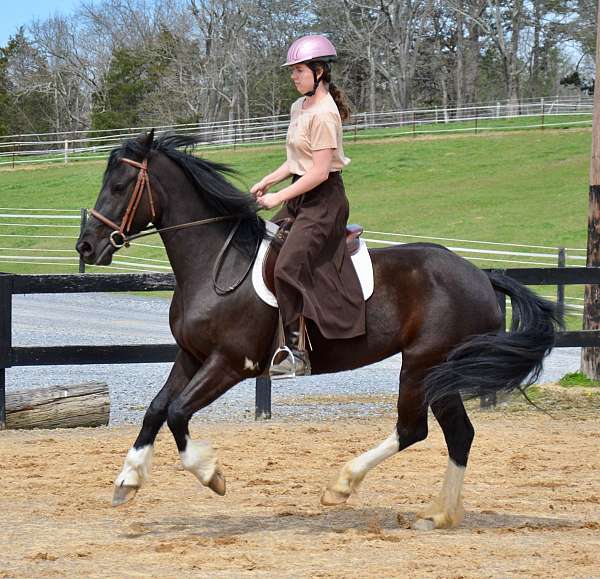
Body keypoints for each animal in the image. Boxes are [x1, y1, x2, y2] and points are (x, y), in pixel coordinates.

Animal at [77, 131, 560, 532]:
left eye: (119, 186)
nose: (86, 246)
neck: (216, 264)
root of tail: (481, 275)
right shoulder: (191, 355)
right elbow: (156, 410)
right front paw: (127, 480)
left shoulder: (230, 363)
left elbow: (177, 412)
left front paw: (211, 474)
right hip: (436, 370)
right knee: (454, 434)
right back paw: (438, 514)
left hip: (424, 364)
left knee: (416, 429)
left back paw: (344, 487)